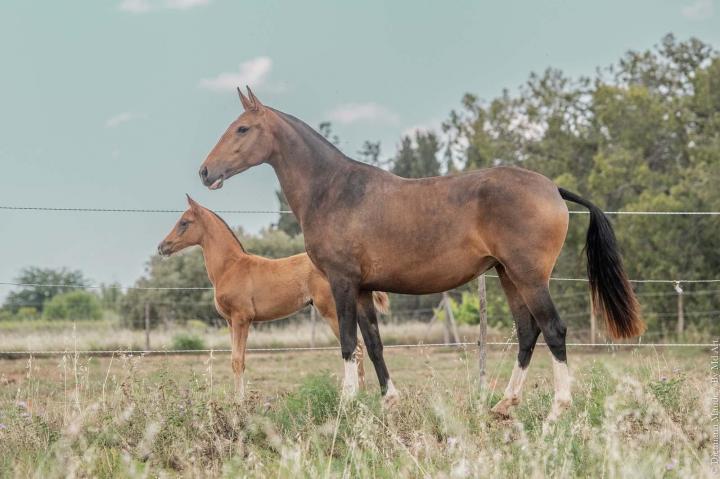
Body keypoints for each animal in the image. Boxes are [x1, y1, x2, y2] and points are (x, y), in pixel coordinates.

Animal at [157, 195, 389, 399]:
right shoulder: (230, 322)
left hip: (331, 312)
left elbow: (238, 360)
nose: (162, 247)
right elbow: (235, 360)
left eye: (184, 222)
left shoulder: (242, 318)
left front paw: (239, 402)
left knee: (356, 348)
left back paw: (358, 394)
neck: (230, 267)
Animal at [198, 87, 644, 419]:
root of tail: (552, 188)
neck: (335, 189)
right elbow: (373, 343)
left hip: (529, 276)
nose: (205, 172)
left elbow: (348, 342)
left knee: (553, 329)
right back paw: (504, 404)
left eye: (242, 128)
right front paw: (388, 401)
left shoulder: (341, 283)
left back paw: (557, 409)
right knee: (527, 332)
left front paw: (346, 404)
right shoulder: (363, 288)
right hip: (507, 275)